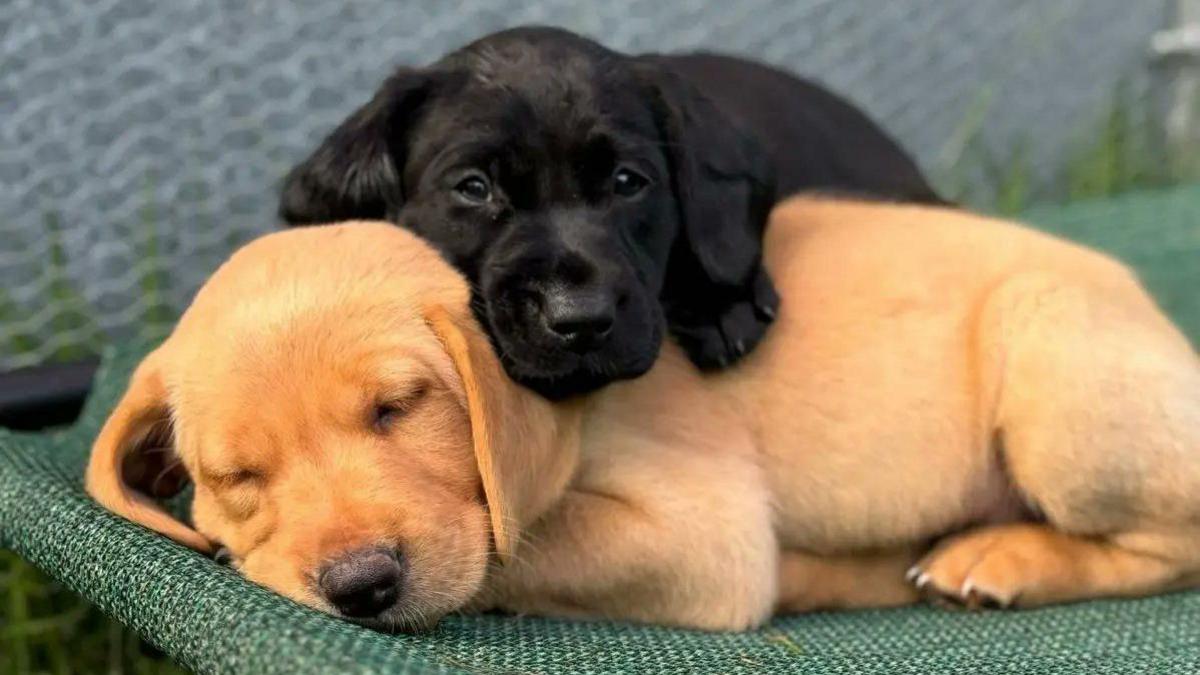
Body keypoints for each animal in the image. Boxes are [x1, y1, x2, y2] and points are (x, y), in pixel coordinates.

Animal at [87, 196, 1200, 629]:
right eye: (237, 477)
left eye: (398, 408)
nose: (361, 585)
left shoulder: (706, 531)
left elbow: (523, 543)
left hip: (1053, 372)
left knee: (1171, 544)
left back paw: (1002, 555)